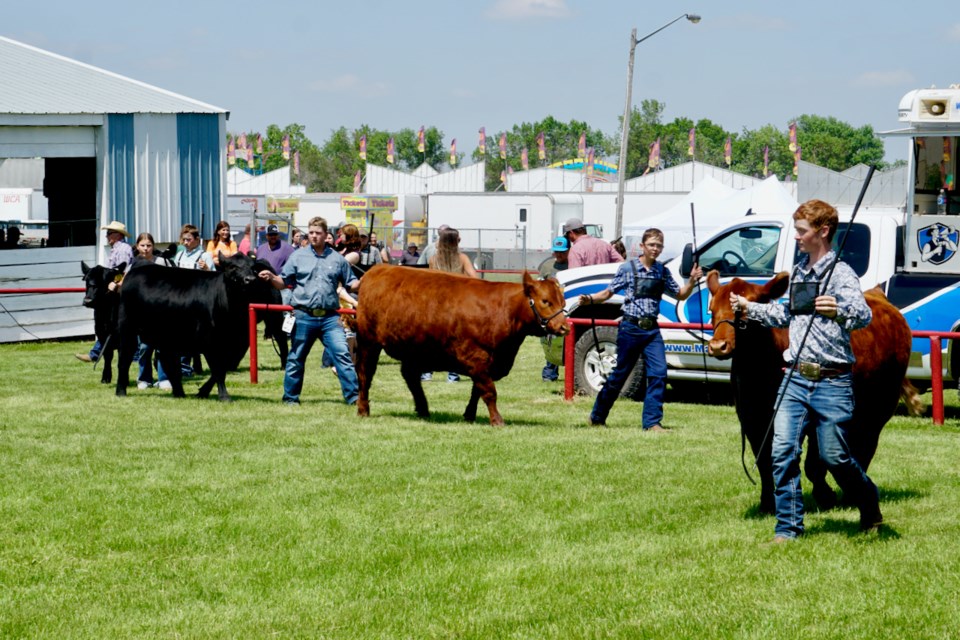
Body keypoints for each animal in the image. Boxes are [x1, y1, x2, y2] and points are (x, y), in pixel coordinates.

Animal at [114, 251, 260, 398]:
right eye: (233, 267)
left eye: (253, 268)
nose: (250, 279)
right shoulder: (210, 342)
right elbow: (218, 369)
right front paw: (224, 396)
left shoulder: (238, 346)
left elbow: (223, 368)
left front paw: (203, 392)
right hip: (127, 328)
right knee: (124, 359)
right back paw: (121, 391)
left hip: (165, 335)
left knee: (167, 362)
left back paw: (179, 392)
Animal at [358, 264, 568, 424]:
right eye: (545, 301)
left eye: (563, 302)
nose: (564, 327)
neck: (504, 310)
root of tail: (378, 268)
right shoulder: (476, 358)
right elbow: (489, 391)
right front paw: (497, 420)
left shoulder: (488, 363)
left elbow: (477, 391)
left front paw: (469, 414)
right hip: (369, 342)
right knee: (365, 375)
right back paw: (363, 409)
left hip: (414, 348)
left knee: (410, 376)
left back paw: (423, 409)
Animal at [704, 270, 924, 516]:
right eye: (712, 309)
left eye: (745, 310)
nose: (718, 346)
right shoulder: (753, 421)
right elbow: (764, 462)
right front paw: (767, 503)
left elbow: (813, 464)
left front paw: (825, 495)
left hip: (882, 402)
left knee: (867, 443)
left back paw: (852, 493)